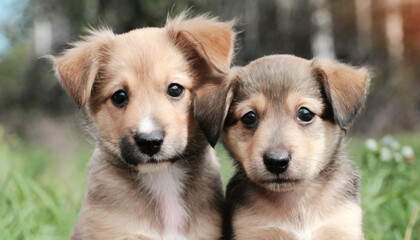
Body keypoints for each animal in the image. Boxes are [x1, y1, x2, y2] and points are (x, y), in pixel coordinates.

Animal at [221, 54, 370, 240]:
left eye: (305, 113)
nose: (276, 162)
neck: (296, 200)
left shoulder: (342, 226)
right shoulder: (252, 231)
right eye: (249, 117)